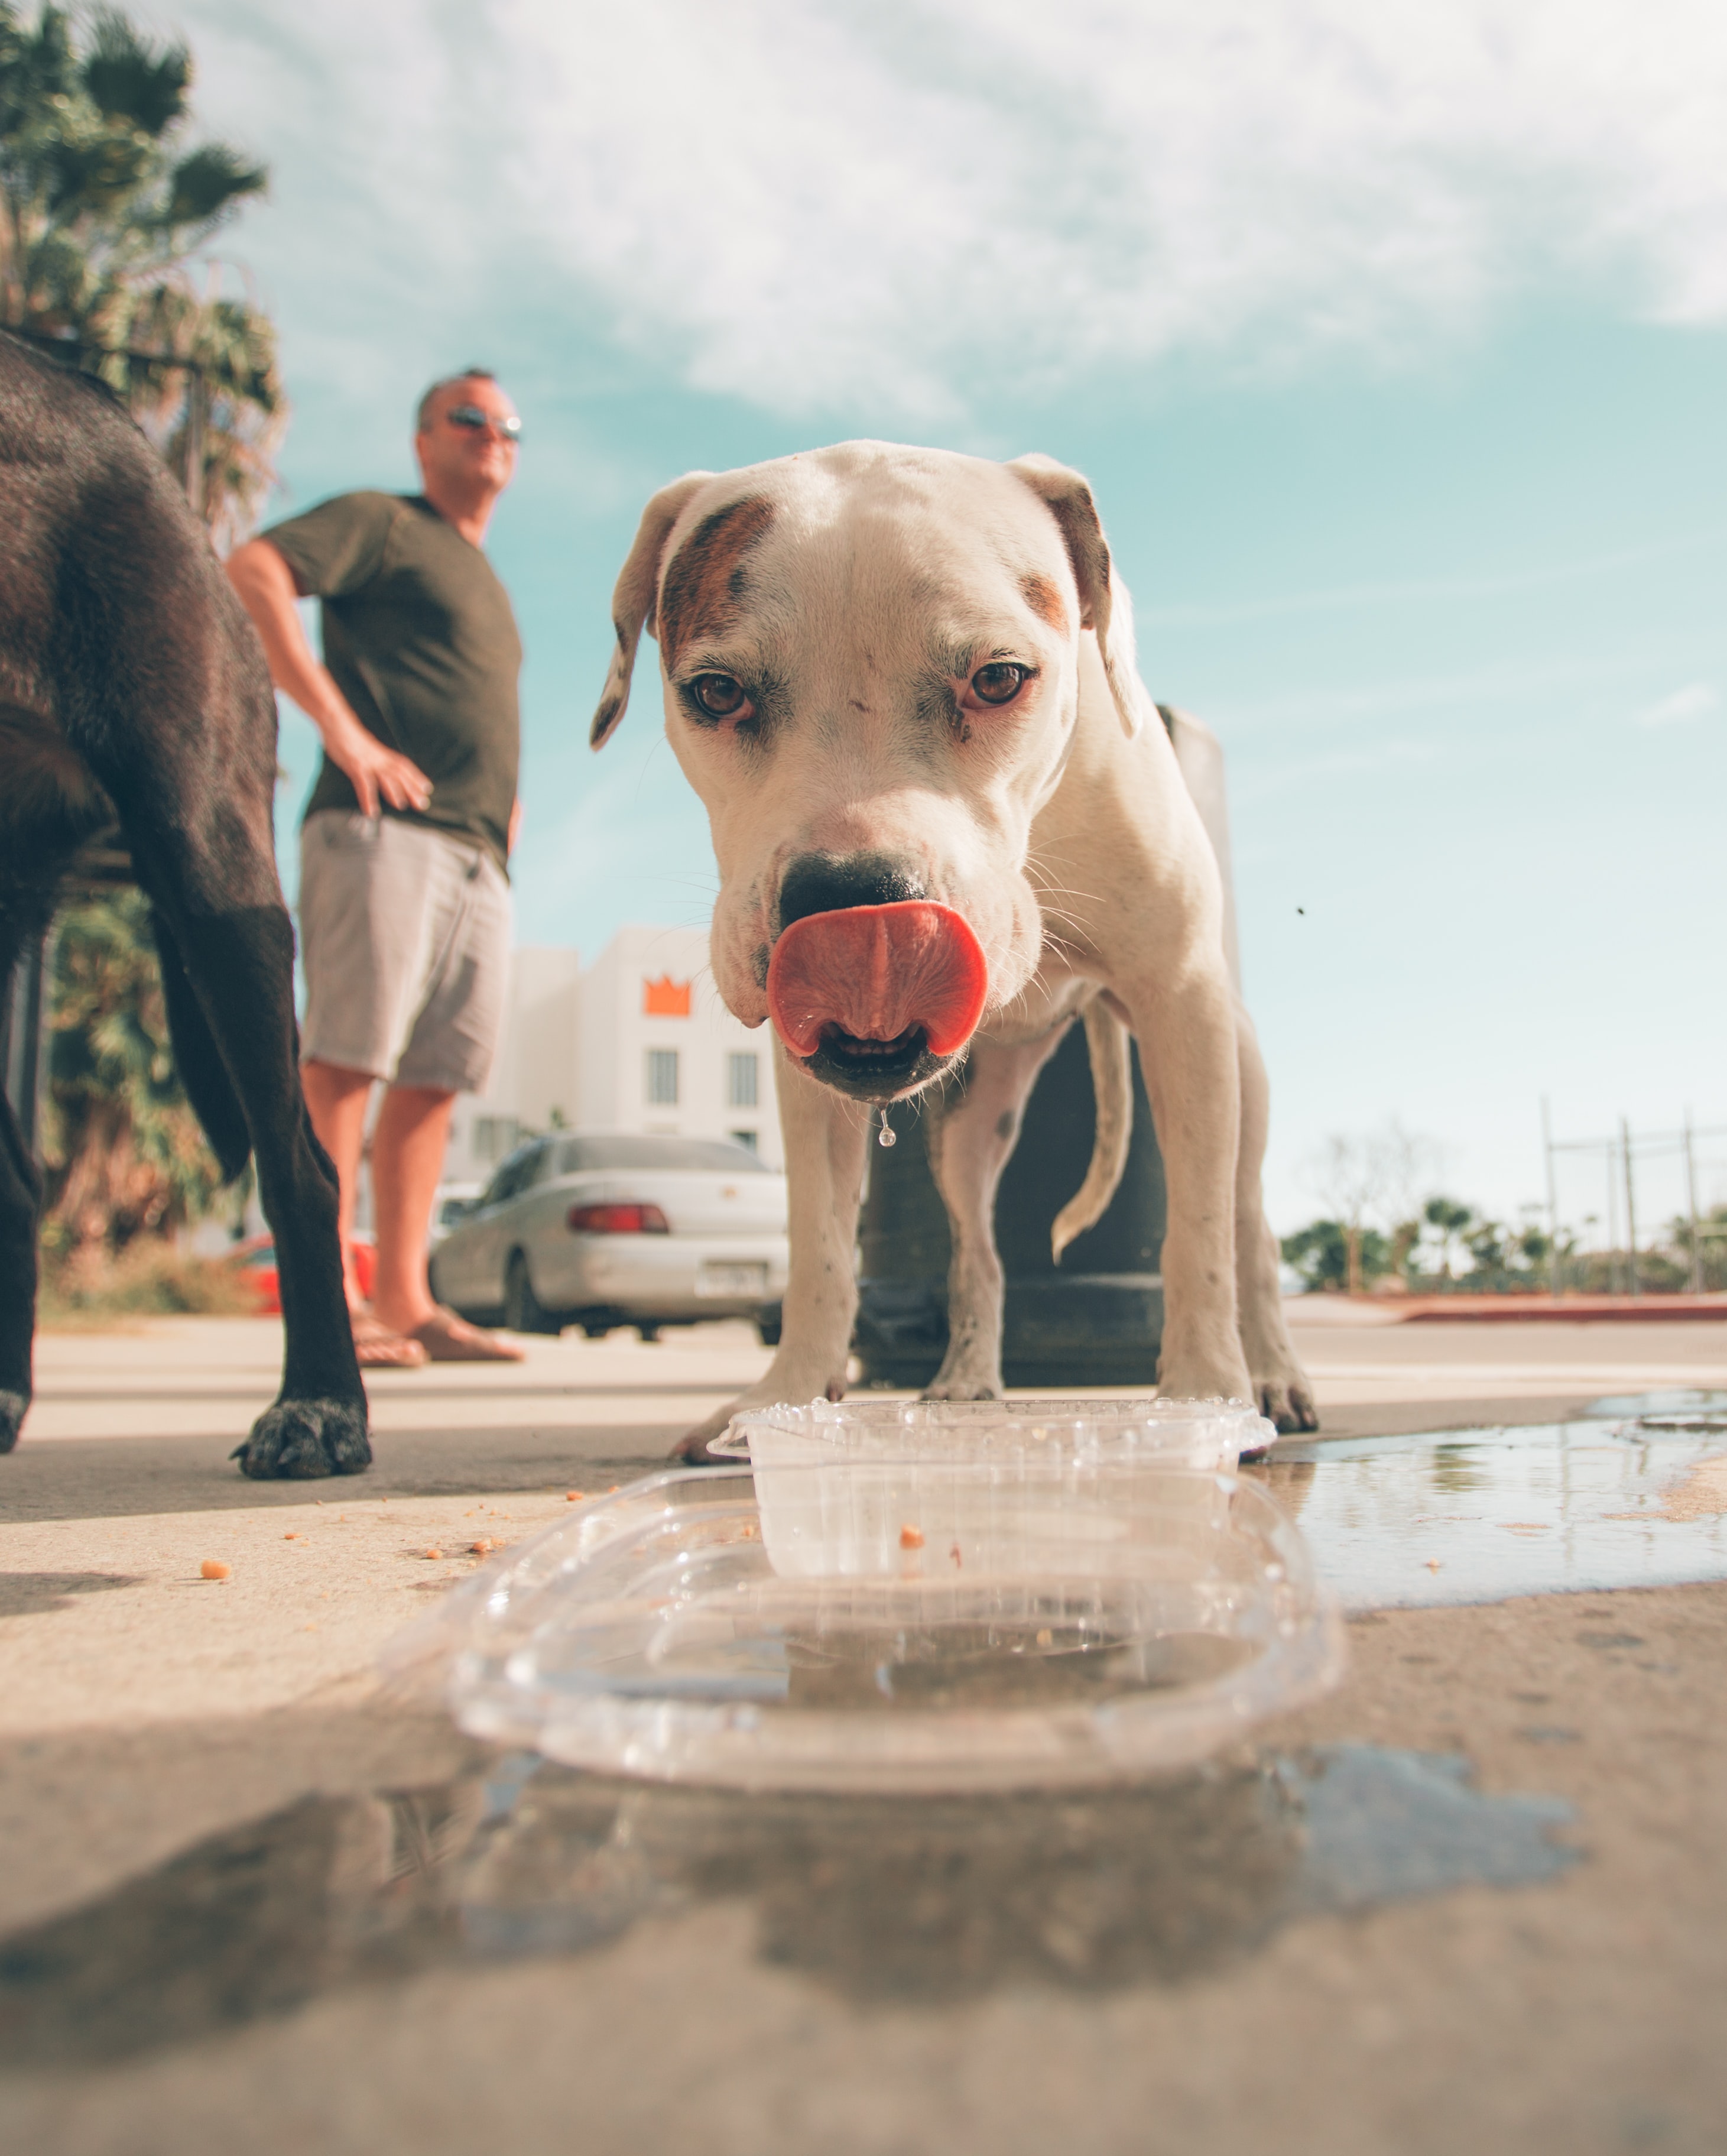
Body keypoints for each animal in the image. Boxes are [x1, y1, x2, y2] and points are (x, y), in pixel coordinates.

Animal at [586, 444, 1310, 1457]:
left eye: (1000, 678)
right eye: (716, 692)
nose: (855, 901)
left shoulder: (1181, 1003)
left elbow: (1197, 1235)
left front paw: (1205, 1395)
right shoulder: (807, 1086)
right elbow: (818, 1247)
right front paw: (786, 1395)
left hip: (1235, 1068)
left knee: (1248, 1226)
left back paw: (1275, 1373)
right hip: (970, 1129)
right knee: (978, 1252)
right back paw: (966, 1379)